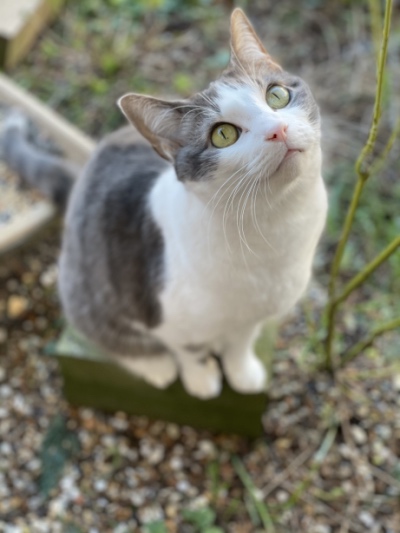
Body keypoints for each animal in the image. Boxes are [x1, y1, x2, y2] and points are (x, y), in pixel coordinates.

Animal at [1, 9, 328, 400]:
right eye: (223, 134)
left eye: (276, 95)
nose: (277, 130)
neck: (277, 227)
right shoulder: (161, 313)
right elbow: (188, 350)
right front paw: (201, 380)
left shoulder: (253, 317)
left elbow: (241, 341)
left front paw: (242, 372)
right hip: (84, 290)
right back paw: (155, 366)